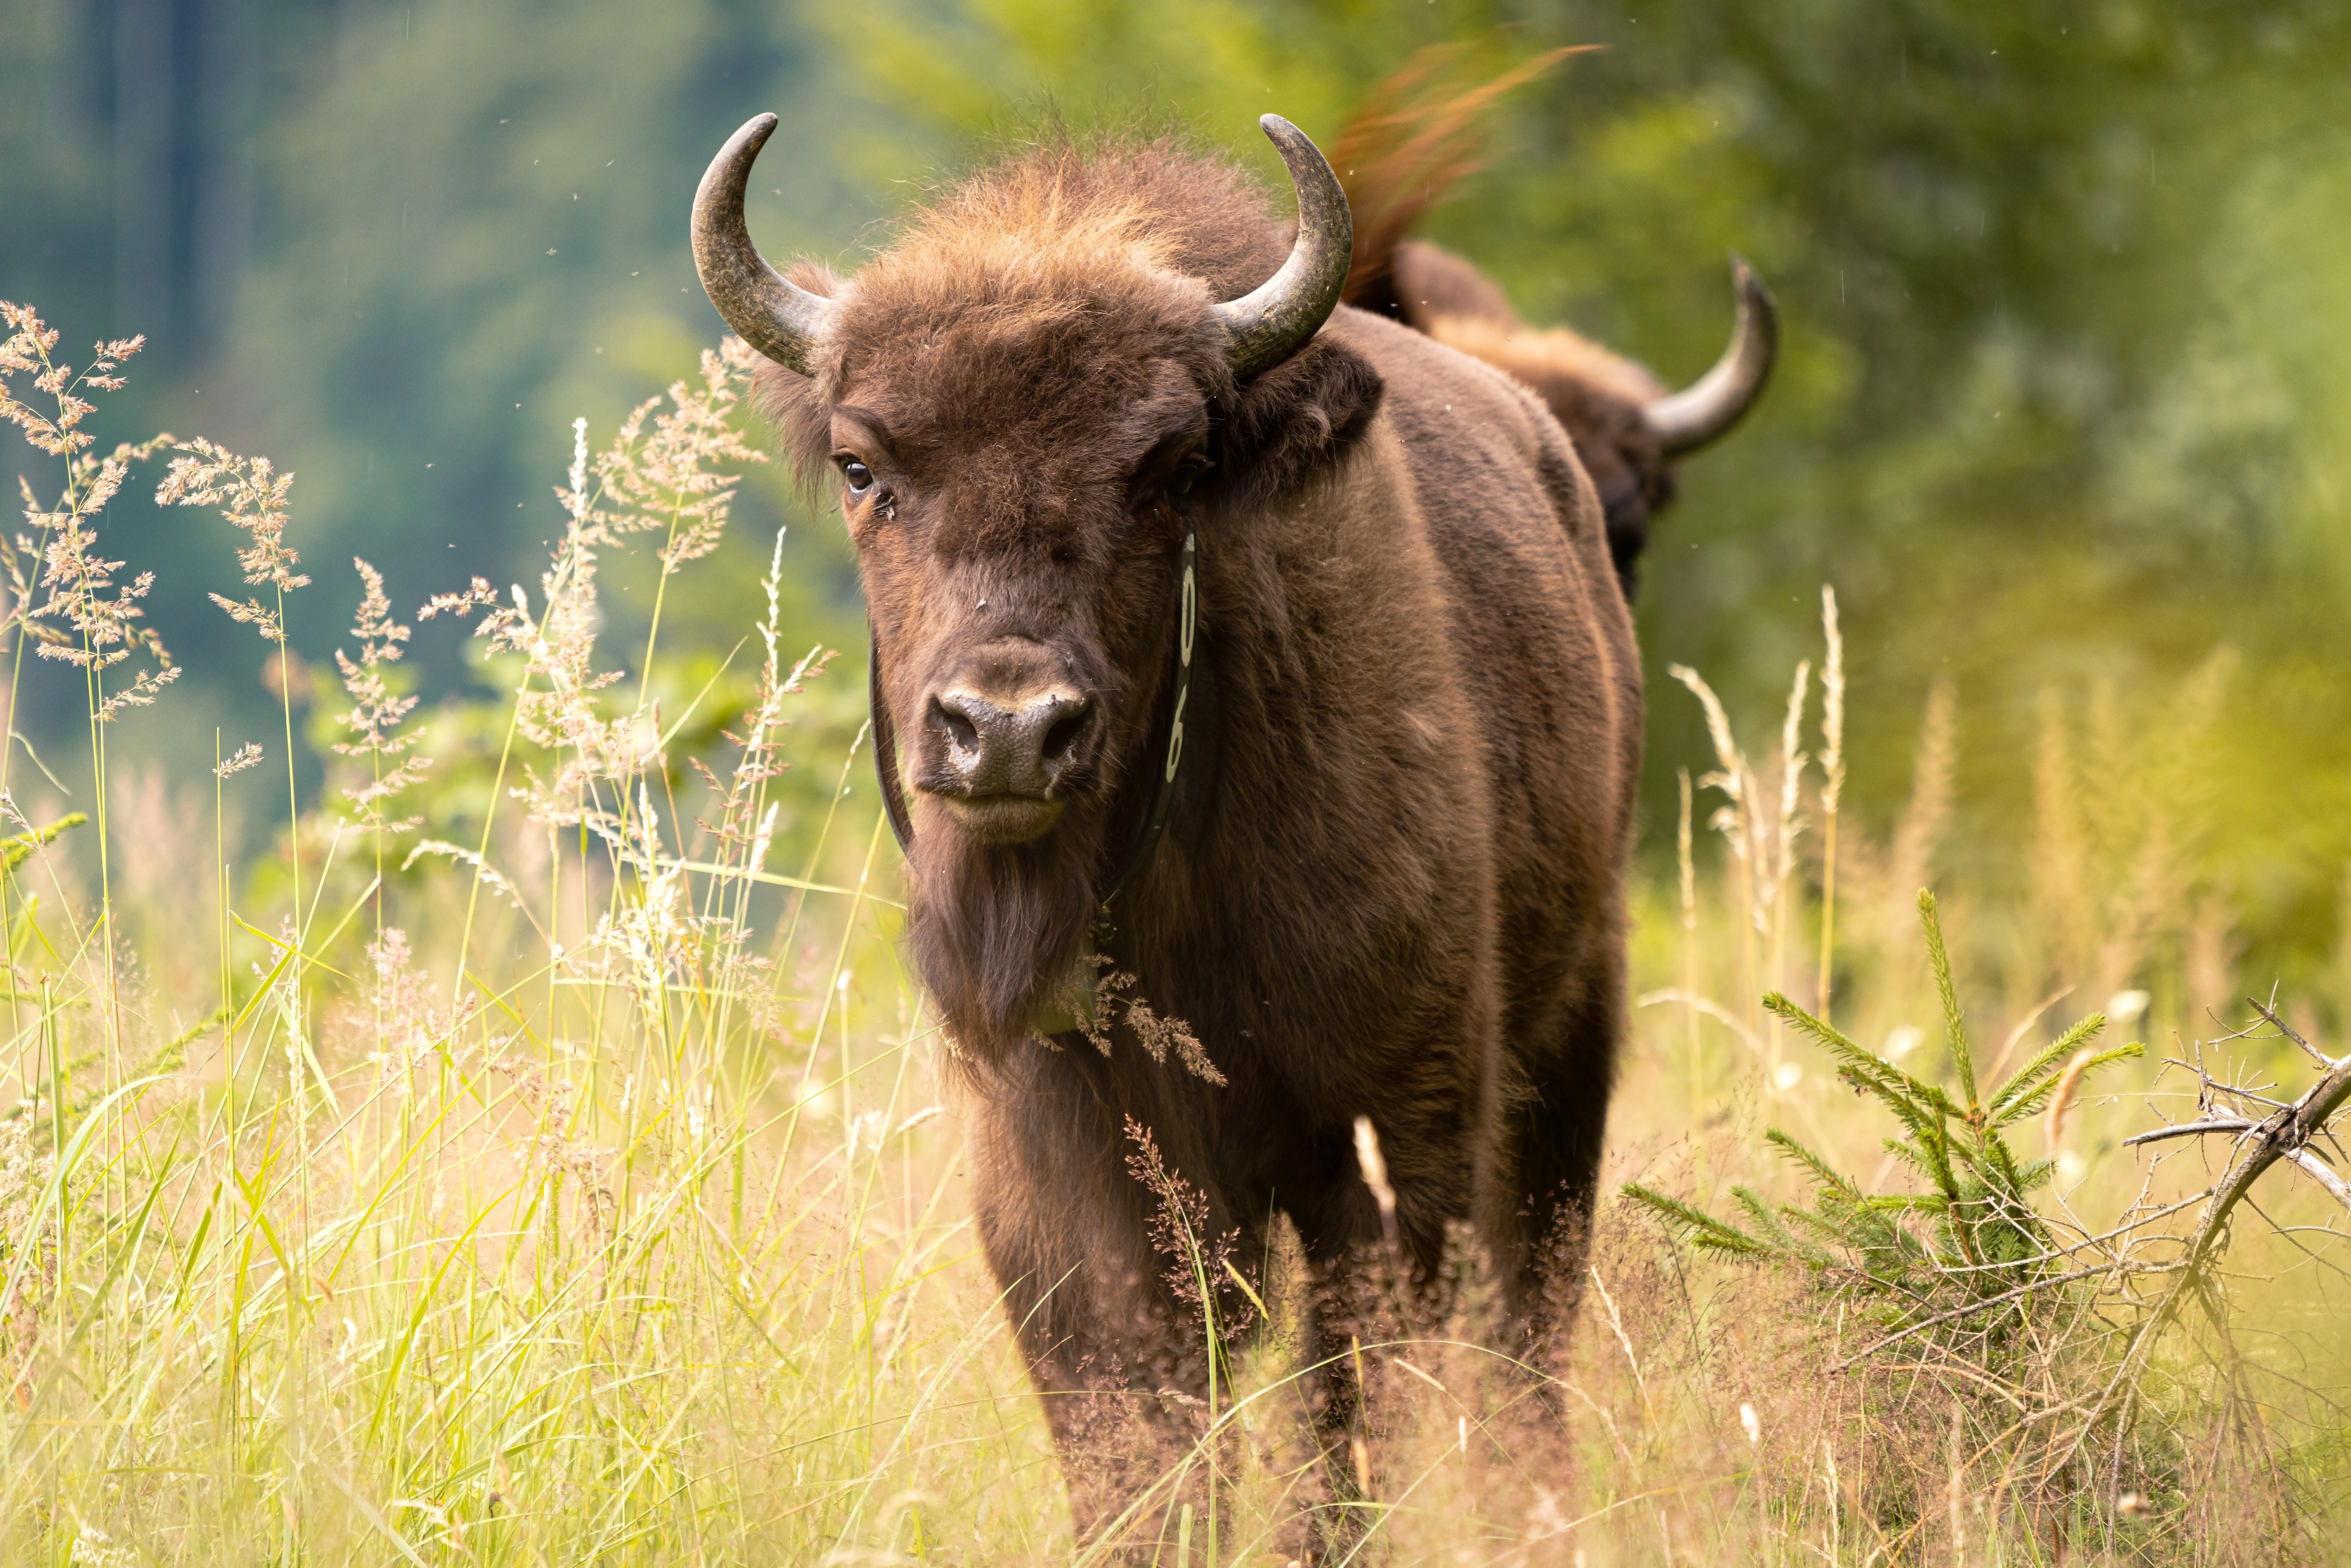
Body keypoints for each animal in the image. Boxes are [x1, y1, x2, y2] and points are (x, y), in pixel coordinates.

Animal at [690, 111, 1769, 1536]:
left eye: (1173, 468)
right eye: (865, 466)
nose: (1009, 727)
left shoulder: (1382, 1150)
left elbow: (1338, 1435)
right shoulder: (1057, 1173)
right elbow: (1141, 1444)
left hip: (1565, 1050)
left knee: (1524, 1346)